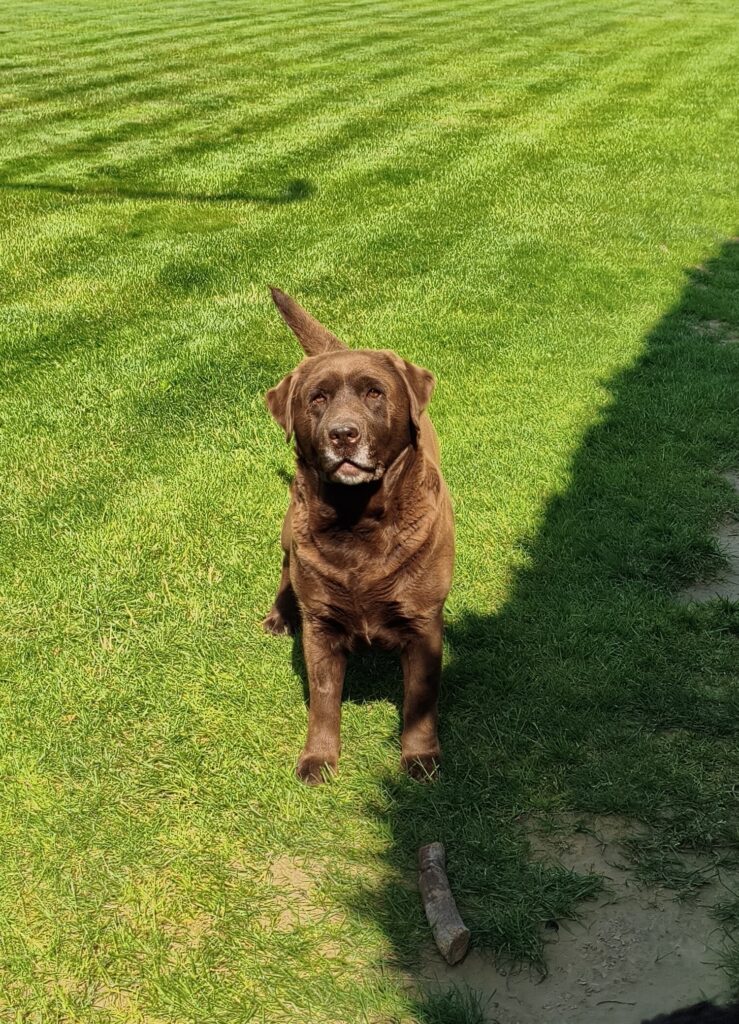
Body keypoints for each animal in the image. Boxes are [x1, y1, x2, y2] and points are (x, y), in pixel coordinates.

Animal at [263, 288, 454, 784]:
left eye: (374, 393)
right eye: (317, 398)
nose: (343, 434)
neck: (358, 520)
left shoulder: (424, 625)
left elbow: (419, 702)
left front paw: (420, 758)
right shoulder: (321, 628)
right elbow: (323, 701)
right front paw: (318, 758)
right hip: (290, 530)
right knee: (286, 565)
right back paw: (279, 614)